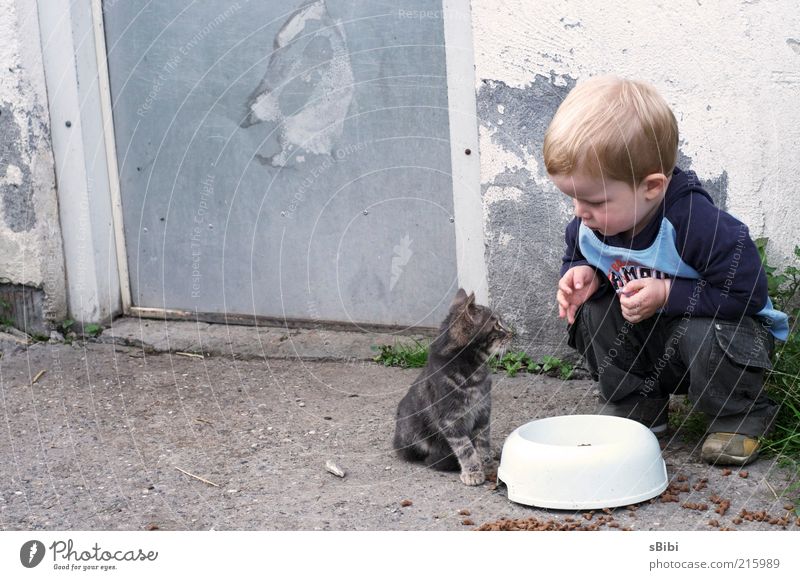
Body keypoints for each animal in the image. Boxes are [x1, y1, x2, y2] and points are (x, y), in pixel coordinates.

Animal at [392, 288, 512, 484]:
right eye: (497, 325)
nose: (512, 333)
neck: (474, 371)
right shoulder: (451, 419)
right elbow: (466, 448)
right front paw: (472, 471)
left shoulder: (483, 412)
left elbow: (482, 443)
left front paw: (487, 464)